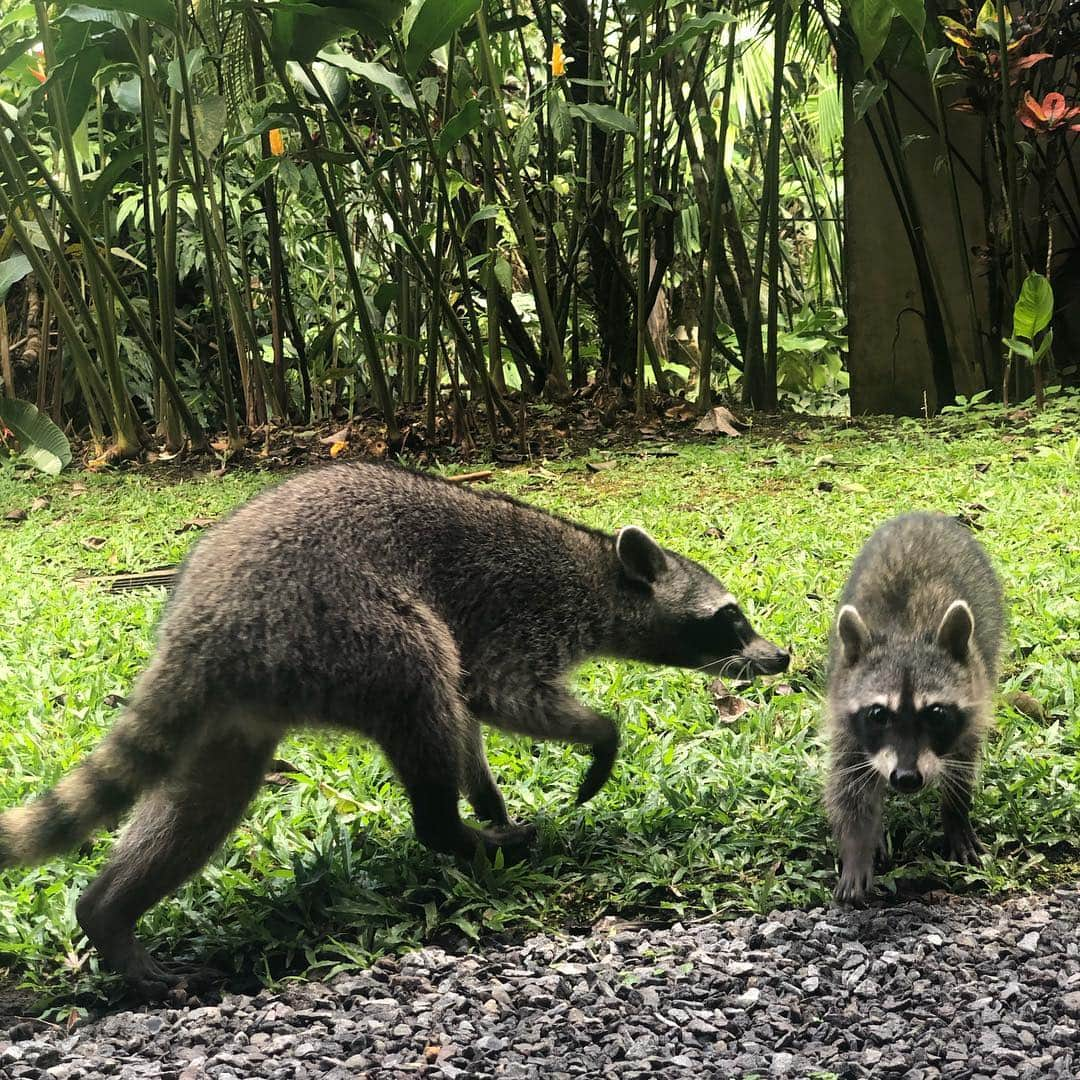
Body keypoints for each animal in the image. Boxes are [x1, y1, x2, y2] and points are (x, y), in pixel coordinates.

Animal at [0, 462, 786, 993]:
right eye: (732, 619)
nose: (780, 656)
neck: (599, 571)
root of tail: (201, 621)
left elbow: (472, 714)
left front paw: (489, 794)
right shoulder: (526, 617)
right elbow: (495, 695)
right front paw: (603, 736)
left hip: (244, 702)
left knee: (203, 804)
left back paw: (108, 913)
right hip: (343, 622)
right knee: (424, 680)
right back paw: (451, 832)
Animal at [825, 511, 1002, 902]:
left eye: (935, 714)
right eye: (878, 714)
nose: (906, 778)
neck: (905, 635)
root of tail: (924, 515)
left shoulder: (973, 703)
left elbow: (962, 765)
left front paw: (956, 814)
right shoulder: (844, 712)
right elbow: (848, 787)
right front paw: (858, 848)